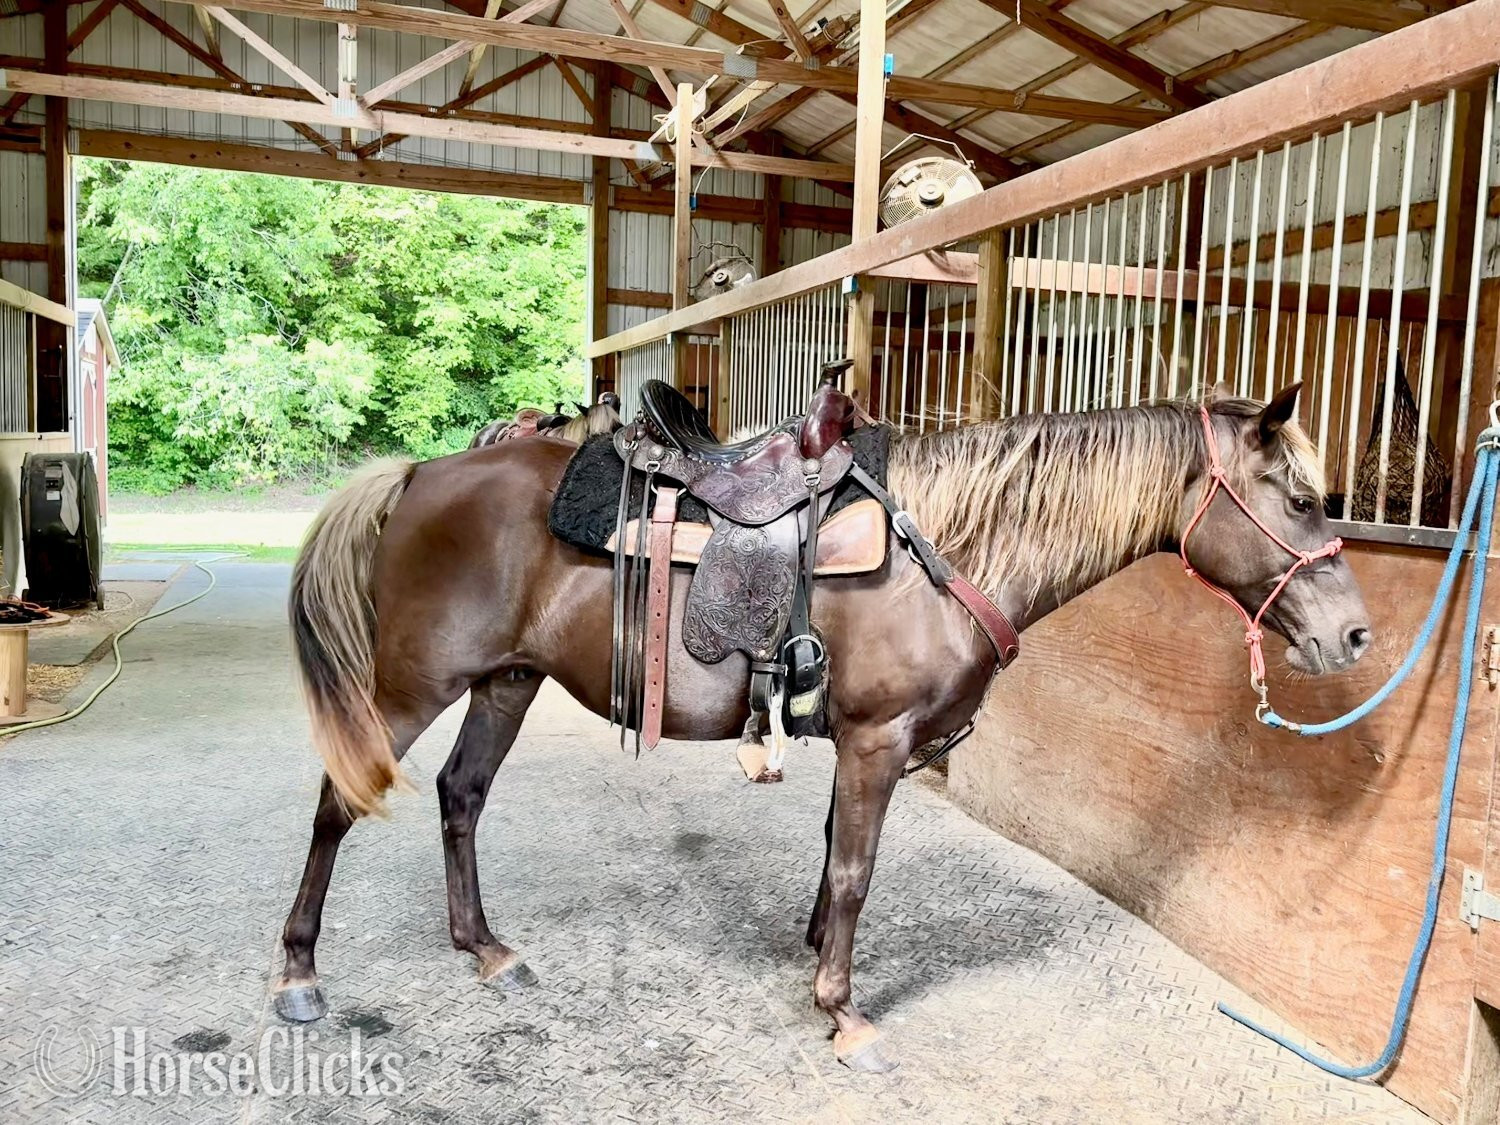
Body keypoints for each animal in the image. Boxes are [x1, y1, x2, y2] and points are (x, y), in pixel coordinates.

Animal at [275, 382, 1371, 1072]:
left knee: (460, 796)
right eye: (1301, 498)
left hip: (505, 681)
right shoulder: (878, 739)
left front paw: (813, 960)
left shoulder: (859, 742)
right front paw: (843, 1009)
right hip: (412, 686)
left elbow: (833, 853)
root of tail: (421, 475)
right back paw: (298, 971)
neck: (942, 547)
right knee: (336, 804)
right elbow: (854, 870)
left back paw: (485, 948)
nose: (1355, 635)